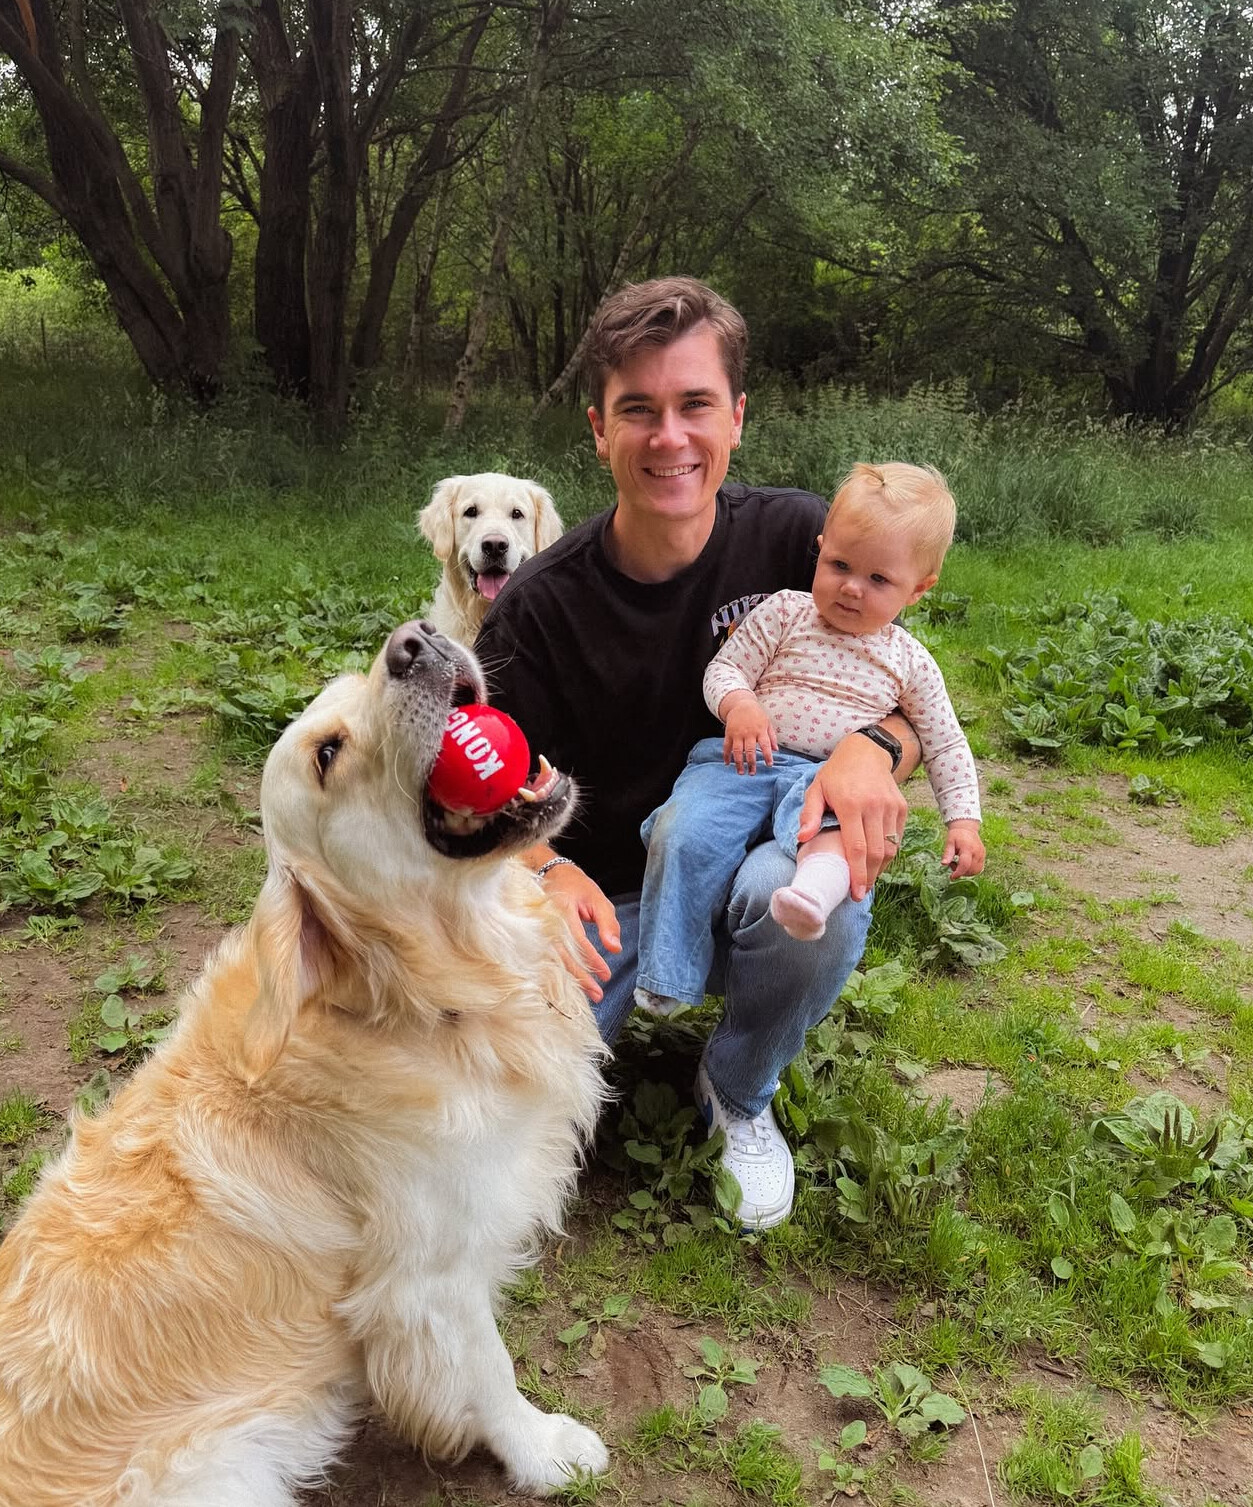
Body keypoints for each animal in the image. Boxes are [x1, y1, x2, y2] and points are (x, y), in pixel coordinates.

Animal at [0, 621, 608, 1507]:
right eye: (328, 754)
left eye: (359, 676)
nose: (416, 640)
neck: (422, 1001)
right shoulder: (431, 1277)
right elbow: (490, 1374)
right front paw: (542, 1449)